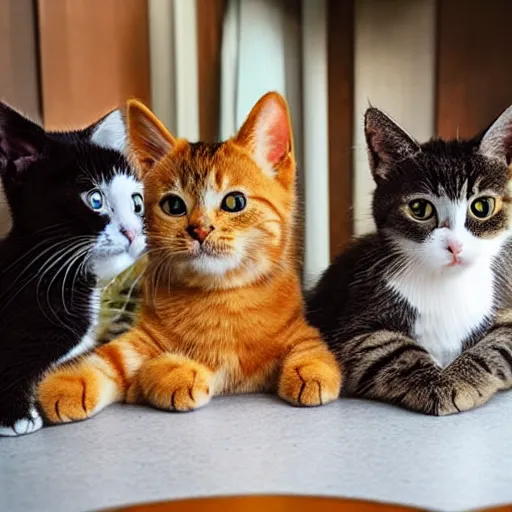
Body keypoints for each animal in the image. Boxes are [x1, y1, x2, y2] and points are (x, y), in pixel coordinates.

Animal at [38, 93, 342, 424]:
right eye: (173, 205)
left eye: (235, 202)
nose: (199, 230)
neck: (219, 299)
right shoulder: (143, 337)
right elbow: (109, 358)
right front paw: (67, 384)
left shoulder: (299, 330)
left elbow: (310, 349)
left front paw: (311, 371)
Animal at [306, 106, 512, 414]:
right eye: (419, 209)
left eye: (482, 207)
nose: (455, 246)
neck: (446, 284)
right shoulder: (351, 328)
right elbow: (393, 351)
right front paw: (438, 383)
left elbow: (496, 345)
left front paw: (461, 377)